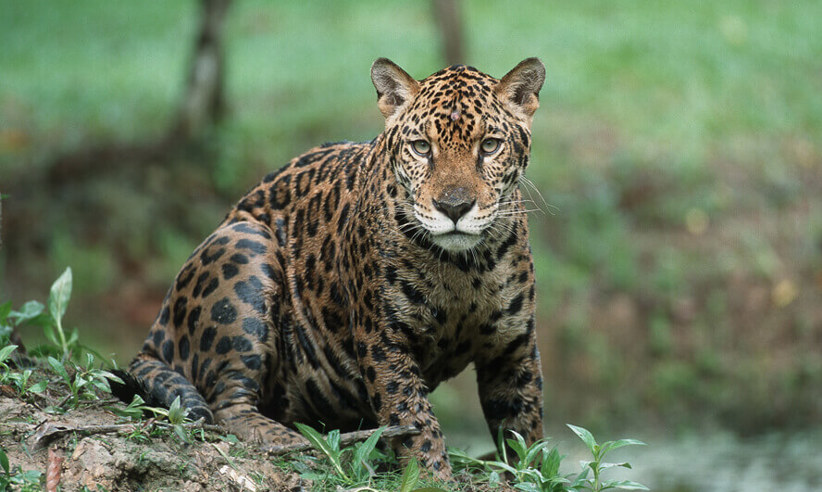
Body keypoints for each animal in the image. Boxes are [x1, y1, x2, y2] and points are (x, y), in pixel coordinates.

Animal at [119, 57, 546, 481]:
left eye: (489, 146)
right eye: (422, 148)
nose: (454, 207)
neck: (464, 269)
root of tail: (155, 332)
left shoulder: (514, 349)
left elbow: (525, 433)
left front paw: (528, 474)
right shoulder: (384, 343)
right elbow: (415, 424)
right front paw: (433, 479)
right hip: (246, 244)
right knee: (227, 404)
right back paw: (296, 441)